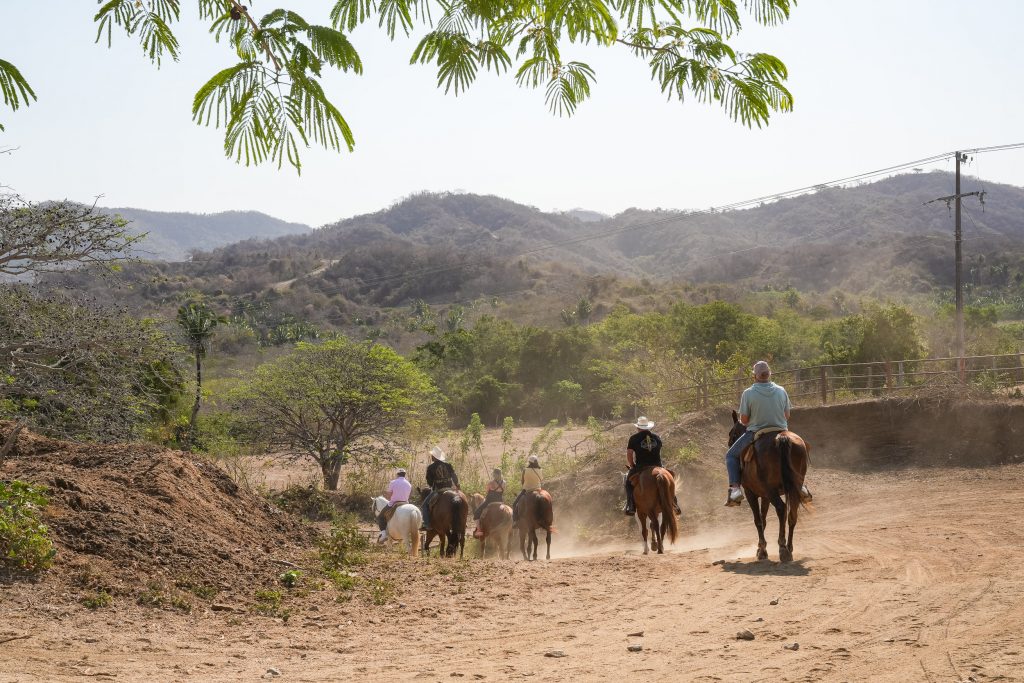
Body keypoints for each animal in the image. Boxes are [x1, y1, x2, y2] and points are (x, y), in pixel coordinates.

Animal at [733, 411, 811, 561]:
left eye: (732, 433)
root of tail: (781, 438)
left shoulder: (751, 492)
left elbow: (758, 520)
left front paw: (762, 550)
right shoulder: (765, 496)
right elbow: (763, 519)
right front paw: (760, 548)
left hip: (771, 490)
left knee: (781, 509)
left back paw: (782, 548)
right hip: (791, 490)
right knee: (792, 514)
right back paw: (789, 548)